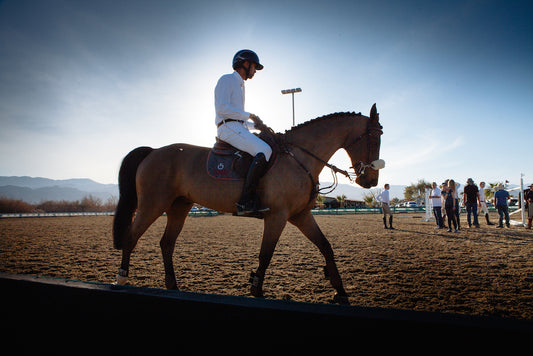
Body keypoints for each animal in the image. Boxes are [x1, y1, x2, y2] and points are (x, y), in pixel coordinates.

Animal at [114, 103, 384, 304]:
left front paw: (340, 291)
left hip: (179, 207)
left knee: (166, 244)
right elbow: (266, 254)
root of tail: (153, 151)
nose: (370, 180)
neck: (298, 156)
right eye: (374, 137)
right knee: (131, 237)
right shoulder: (277, 216)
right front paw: (256, 288)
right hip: (152, 205)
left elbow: (326, 247)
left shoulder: (301, 216)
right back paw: (122, 278)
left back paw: (172, 285)